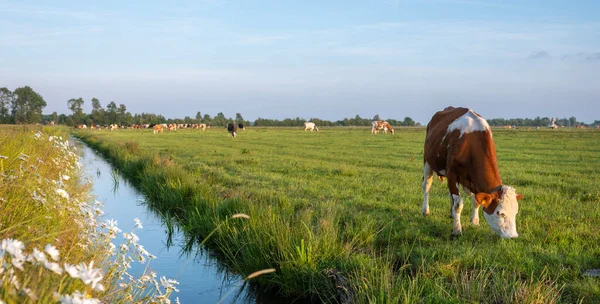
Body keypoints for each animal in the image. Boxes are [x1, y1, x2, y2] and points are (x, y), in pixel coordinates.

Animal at [420, 108, 524, 239]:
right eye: (500, 213)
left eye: (515, 212)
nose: (513, 236)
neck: (471, 142)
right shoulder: (452, 174)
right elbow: (458, 204)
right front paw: (457, 230)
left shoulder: (474, 181)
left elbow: (475, 201)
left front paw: (474, 222)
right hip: (427, 161)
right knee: (427, 186)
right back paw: (425, 211)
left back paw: (451, 214)